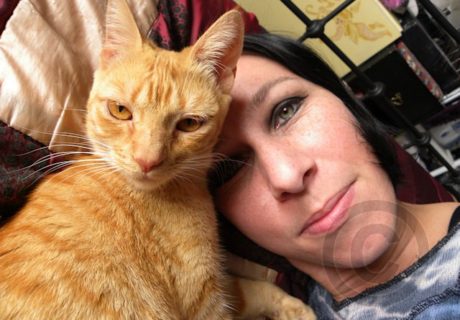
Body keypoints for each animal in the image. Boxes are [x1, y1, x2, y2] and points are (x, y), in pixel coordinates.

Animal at [0, 0, 314, 318]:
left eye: (189, 124)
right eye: (120, 110)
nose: (147, 160)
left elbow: (250, 287)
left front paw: (295, 307)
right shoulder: (202, 301)